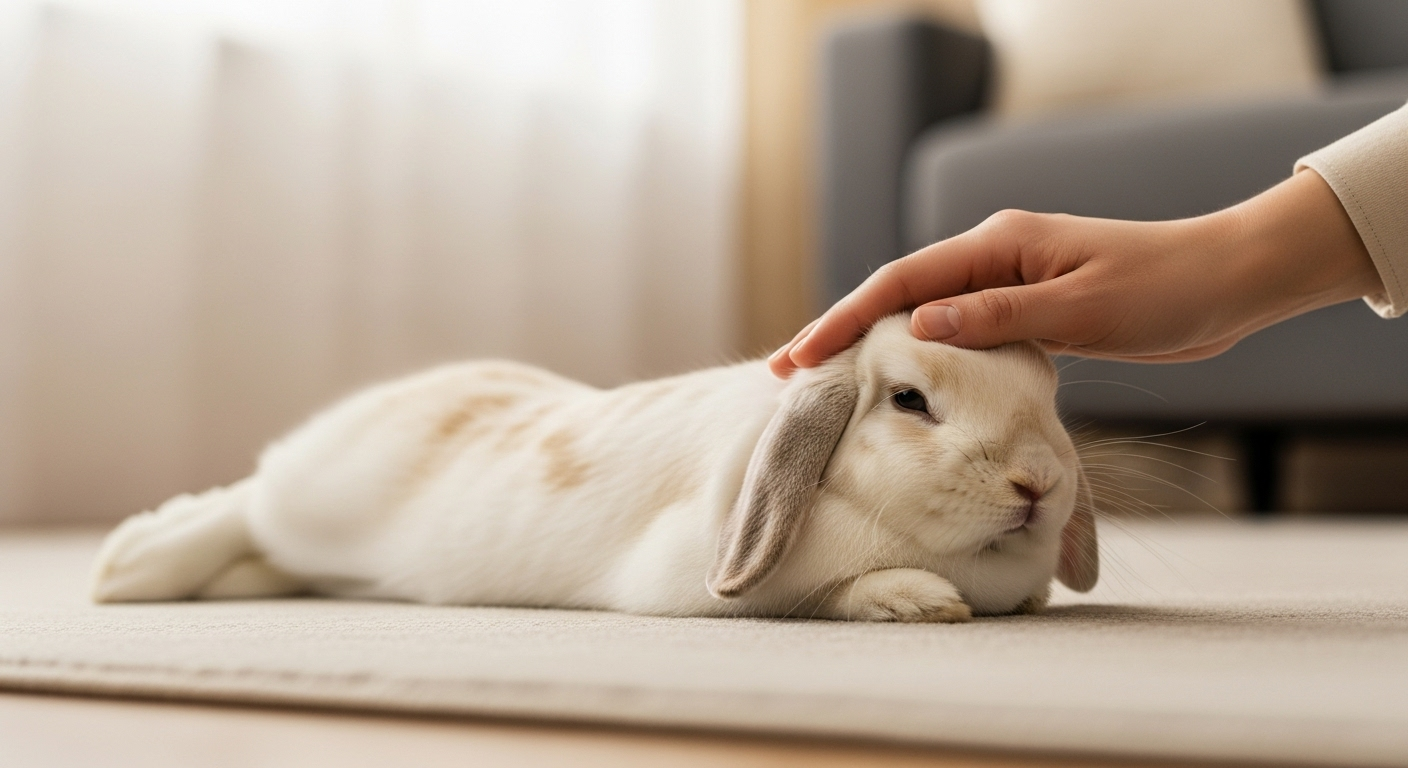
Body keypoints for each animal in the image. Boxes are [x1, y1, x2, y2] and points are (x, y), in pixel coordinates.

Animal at [90, 314, 1098, 622]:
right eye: (910, 401)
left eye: (1052, 398)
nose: (1039, 484)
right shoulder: (700, 585)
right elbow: (820, 593)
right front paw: (919, 601)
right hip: (319, 497)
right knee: (246, 500)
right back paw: (128, 567)